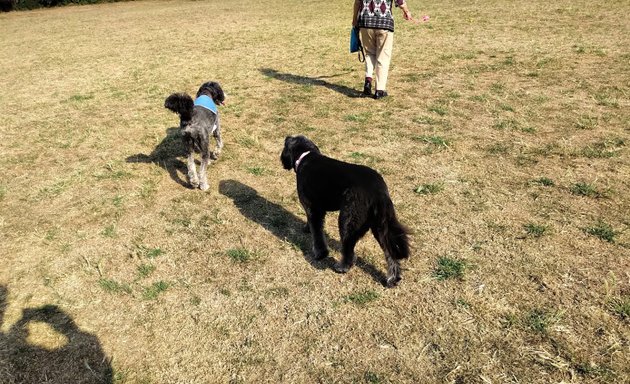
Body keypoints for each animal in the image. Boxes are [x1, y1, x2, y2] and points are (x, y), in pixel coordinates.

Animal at [280, 134, 410, 286]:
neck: (306, 156)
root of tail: (379, 192)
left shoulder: (313, 209)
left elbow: (317, 234)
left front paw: (320, 254)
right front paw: (307, 228)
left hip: (348, 221)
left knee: (349, 249)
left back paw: (342, 267)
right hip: (380, 227)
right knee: (390, 253)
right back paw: (392, 279)